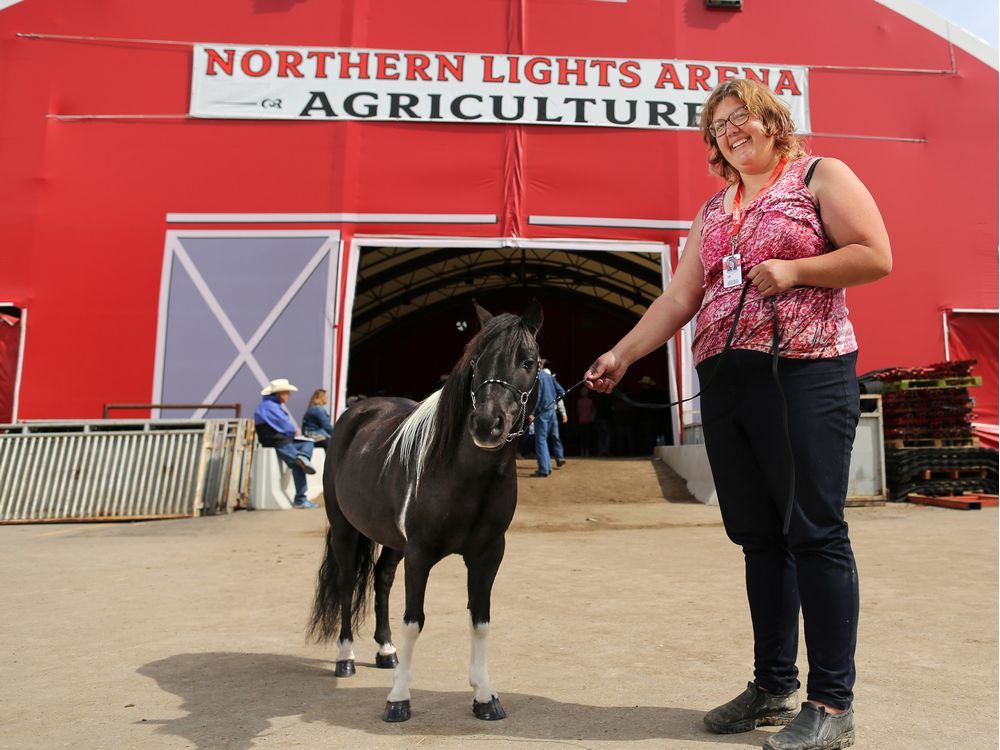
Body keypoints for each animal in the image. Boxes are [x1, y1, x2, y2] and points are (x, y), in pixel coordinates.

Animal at [309, 300, 543, 723]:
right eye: (476, 360)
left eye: (529, 361)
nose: (487, 424)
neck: (462, 475)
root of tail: (357, 410)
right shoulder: (419, 555)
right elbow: (414, 621)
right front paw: (398, 699)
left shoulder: (488, 554)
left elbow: (480, 621)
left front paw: (485, 696)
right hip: (345, 530)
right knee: (349, 584)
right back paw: (345, 658)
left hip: (391, 541)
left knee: (381, 579)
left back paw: (385, 652)